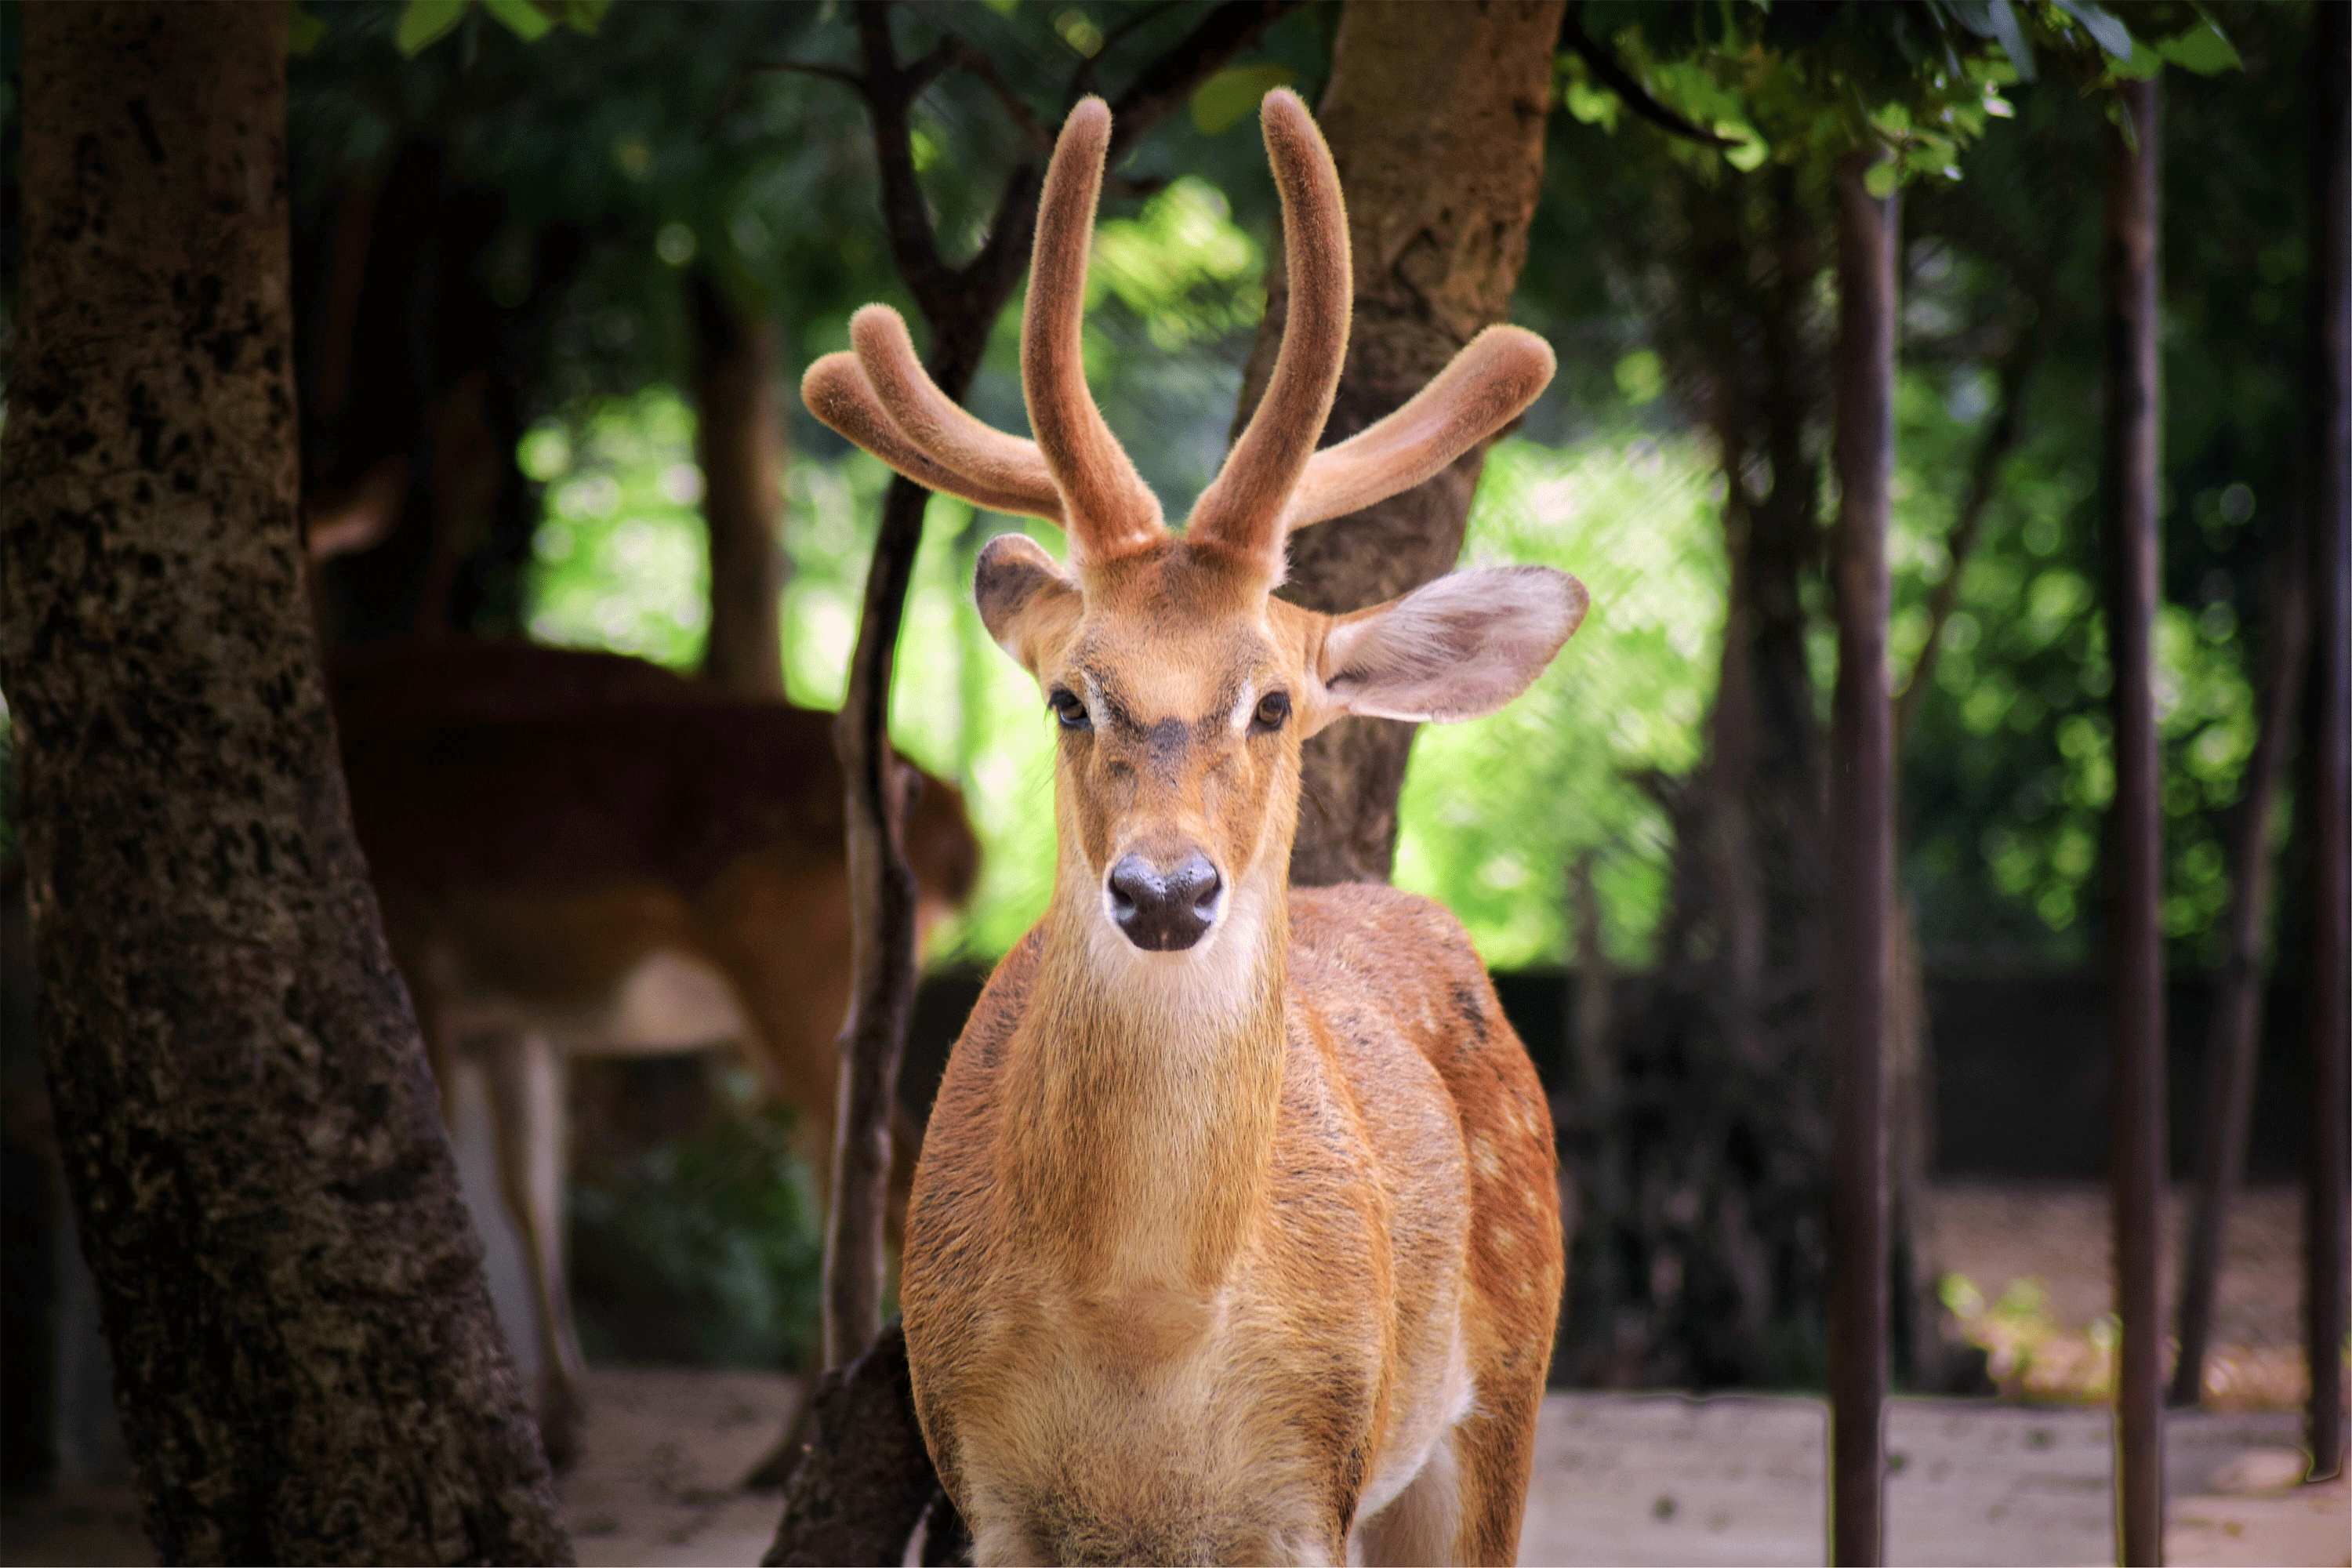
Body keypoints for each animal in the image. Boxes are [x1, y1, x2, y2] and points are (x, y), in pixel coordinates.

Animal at [800, 92, 1590, 1561]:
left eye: (1273, 702)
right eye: (1067, 697)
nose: (1165, 891)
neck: (1141, 1349)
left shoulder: (1310, 1489)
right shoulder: (980, 1482)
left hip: (1508, 1371)